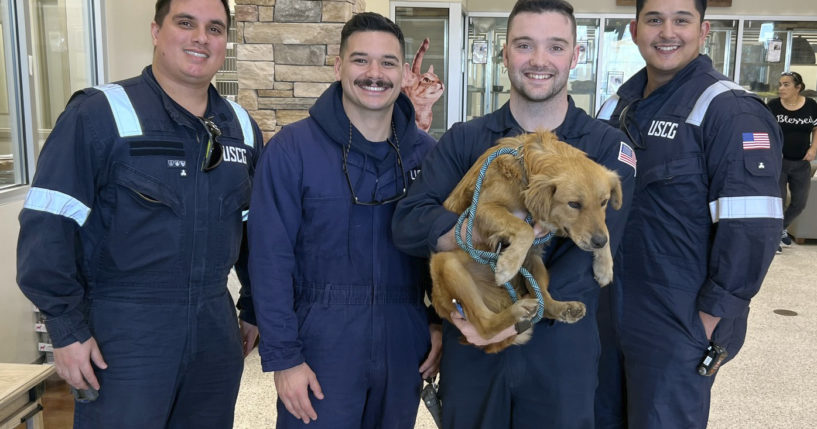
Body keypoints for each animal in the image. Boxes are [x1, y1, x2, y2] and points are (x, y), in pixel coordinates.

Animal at [430, 130, 620, 352]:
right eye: (574, 204)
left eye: (604, 202)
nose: (598, 242)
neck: (526, 169)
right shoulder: (482, 209)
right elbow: (526, 228)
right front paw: (507, 265)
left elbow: (606, 228)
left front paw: (605, 267)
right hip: (447, 263)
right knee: (485, 325)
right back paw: (518, 310)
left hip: (535, 263)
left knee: (544, 302)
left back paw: (563, 308)